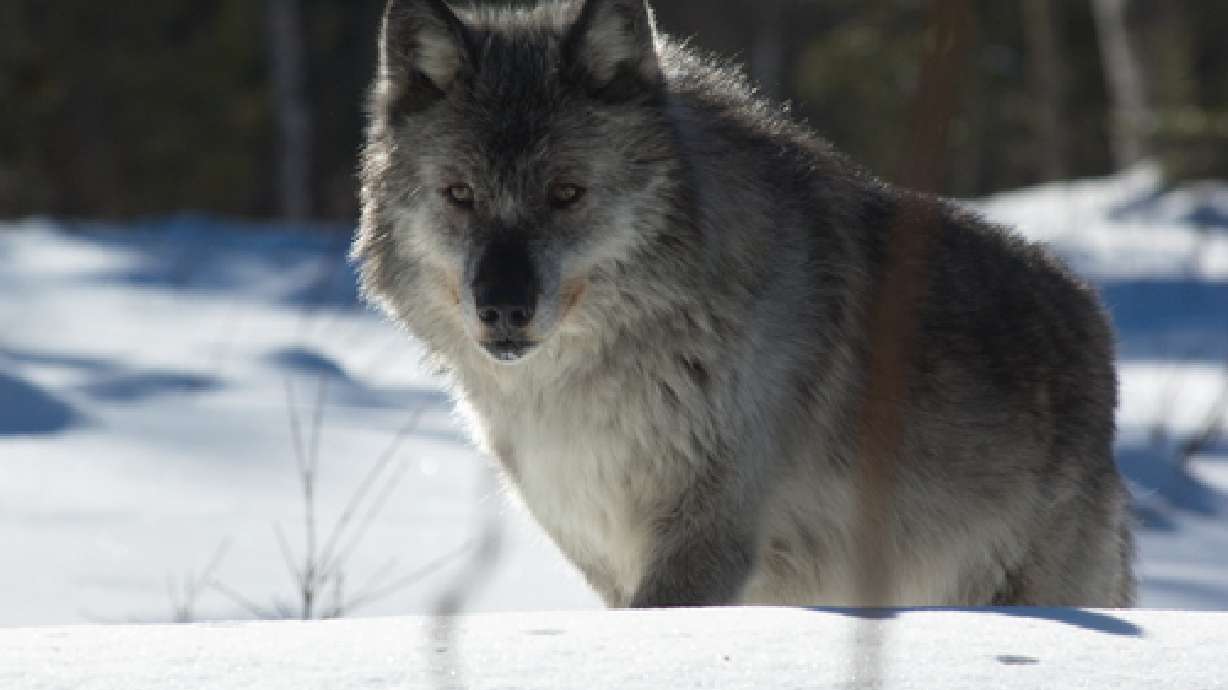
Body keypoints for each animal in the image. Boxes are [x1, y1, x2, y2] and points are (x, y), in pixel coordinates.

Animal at [354, 0, 1135, 608]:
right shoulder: (604, 555)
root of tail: (1094, 320)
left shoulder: (706, 541)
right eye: (460, 195)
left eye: (566, 193)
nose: (503, 311)